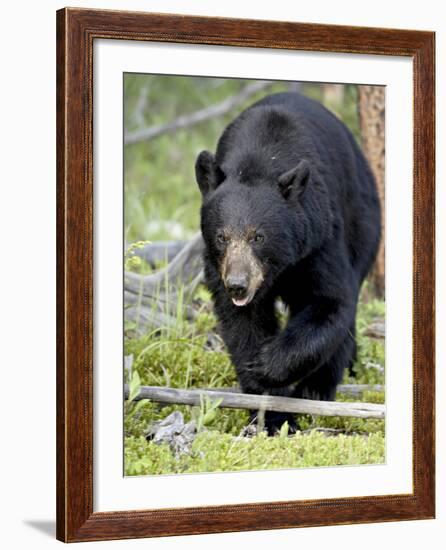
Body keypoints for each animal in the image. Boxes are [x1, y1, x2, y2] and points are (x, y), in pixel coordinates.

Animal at [194, 91, 380, 436]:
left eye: (259, 236)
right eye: (222, 236)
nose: (238, 285)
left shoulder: (318, 238)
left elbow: (330, 301)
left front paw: (267, 365)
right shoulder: (218, 266)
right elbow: (242, 323)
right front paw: (270, 412)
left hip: (363, 222)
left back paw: (318, 389)